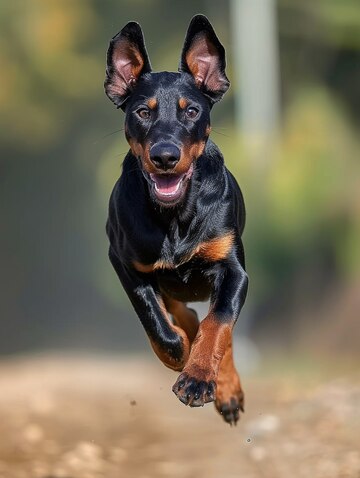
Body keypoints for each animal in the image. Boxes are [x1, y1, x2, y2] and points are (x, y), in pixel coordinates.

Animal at [105, 15, 248, 426]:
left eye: (191, 111)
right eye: (142, 111)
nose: (165, 156)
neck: (174, 216)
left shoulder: (233, 268)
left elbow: (218, 324)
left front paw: (198, 379)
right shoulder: (124, 262)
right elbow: (156, 323)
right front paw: (180, 356)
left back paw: (226, 391)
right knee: (182, 314)